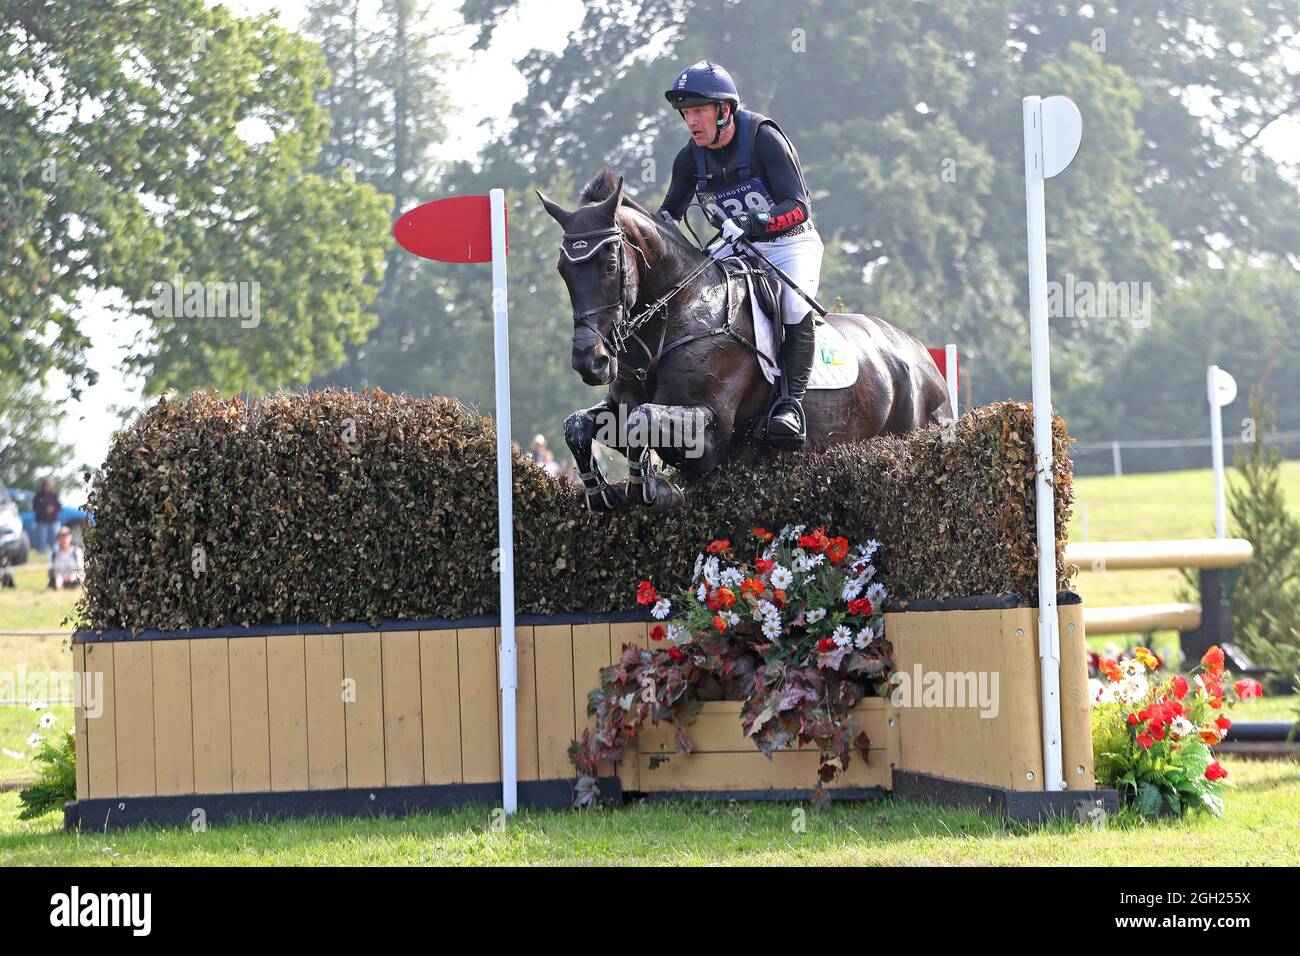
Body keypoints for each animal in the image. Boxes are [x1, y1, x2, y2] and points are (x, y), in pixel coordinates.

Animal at [533, 167, 951, 512]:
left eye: (610, 265)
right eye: (563, 269)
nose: (590, 361)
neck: (677, 314)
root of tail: (923, 359)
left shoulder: (712, 435)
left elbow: (643, 418)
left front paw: (652, 490)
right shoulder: (620, 406)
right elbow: (579, 426)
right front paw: (603, 493)